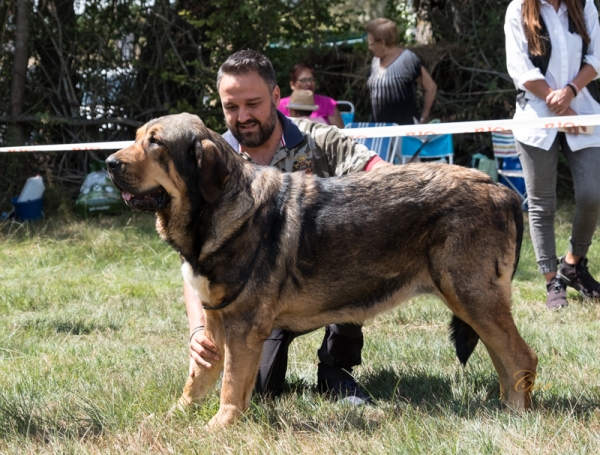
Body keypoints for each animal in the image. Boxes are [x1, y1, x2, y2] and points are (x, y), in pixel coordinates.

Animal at [106, 113, 540, 428]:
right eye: (138, 137)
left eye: (156, 143)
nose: (109, 163)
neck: (213, 211)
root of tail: (502, 190)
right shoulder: (215, 323)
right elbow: (198, 379)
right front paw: (171, 419)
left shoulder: (243, 328)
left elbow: (229, 386)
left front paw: (218, 427)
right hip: (475, 304)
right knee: (505, 360)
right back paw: (506, 407)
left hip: (471, 296)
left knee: (521, 357)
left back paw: (515, 416)